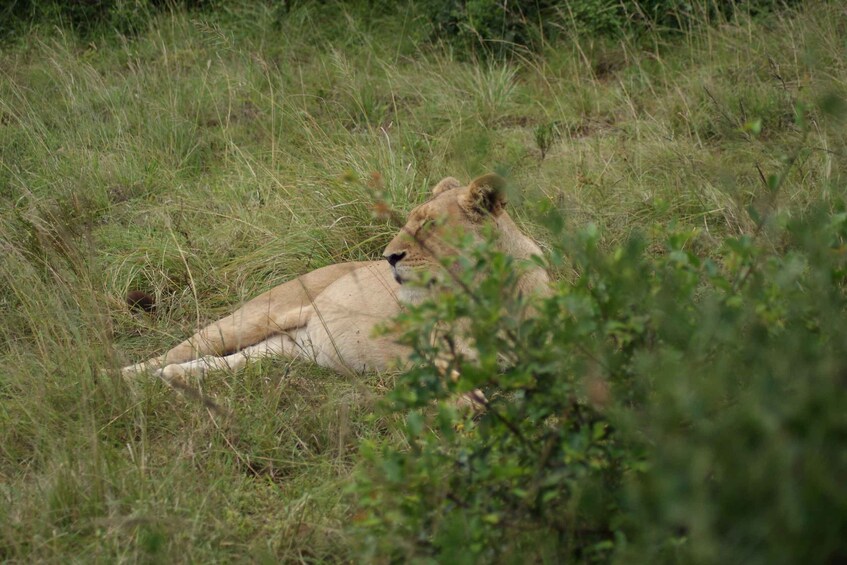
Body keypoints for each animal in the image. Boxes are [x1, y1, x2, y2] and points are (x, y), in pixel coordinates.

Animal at [120, 173, 549, 383]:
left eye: (429, 226)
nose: (389, 257)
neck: (488, 293)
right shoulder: (434, 356)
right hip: (247, 320)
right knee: (174, 352)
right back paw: (121, 379)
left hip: (284, 349)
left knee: (222, 363)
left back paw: (174, 379)